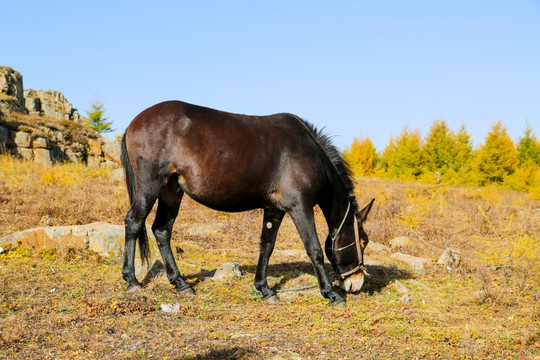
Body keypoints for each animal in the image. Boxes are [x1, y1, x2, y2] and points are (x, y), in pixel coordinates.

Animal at [120, 101, 374, 306]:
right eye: (364, 241)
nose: (357, 283)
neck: (310, 152)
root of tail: (133, 123)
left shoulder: (274, 210)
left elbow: (266, 246)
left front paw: (264, 289)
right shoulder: (300, 207)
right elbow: (314, 249)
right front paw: (331, 295)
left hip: (172, 190)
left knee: (162, 230)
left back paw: (180, 283)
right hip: (151, 185)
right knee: (134, 222)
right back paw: (132, 280)